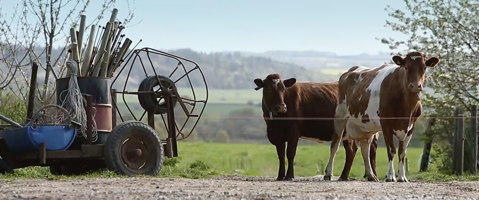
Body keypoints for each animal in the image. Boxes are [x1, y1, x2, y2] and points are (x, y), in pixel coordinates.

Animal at [324, 51, 440, 181]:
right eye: (406, 67)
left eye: (424, 68)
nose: (415, 86)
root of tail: (350, 70)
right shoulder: (386, 124)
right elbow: (391, 150)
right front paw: (390, 176)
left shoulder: (411, 126)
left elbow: (402, 152)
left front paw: (402, 177)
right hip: (340, 115)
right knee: (335, 143)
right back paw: (328, 173)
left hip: (366, 125)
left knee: (365, 147)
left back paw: (371, 175)